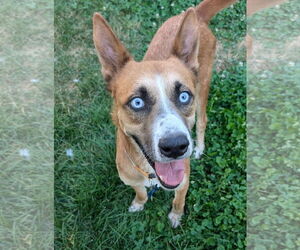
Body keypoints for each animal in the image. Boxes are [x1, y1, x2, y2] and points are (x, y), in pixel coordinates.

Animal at [93, 0, 237, 227]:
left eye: (184, 96)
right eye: (137, 102)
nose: (176, 146)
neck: (151, 173)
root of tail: (198, 13)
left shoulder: (183, 182)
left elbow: (179, 201)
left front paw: (176, 216)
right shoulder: (131, 180)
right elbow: (140, 192)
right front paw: (138, 203)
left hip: (202, 88)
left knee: (203, 121)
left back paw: (199, 147)